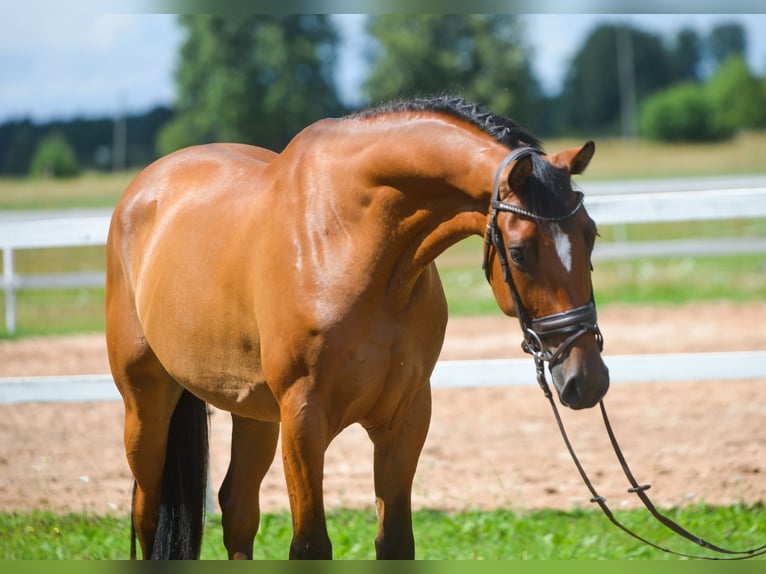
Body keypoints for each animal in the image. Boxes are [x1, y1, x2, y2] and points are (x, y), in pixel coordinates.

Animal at [106, 95, 612, 564]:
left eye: (590, 235)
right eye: (521, 252)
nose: (586, 379)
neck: (348, 239)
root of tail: (142, 189)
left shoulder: (406, 416)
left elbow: (396, 542)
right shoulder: (304, 420)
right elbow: (310, 546)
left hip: (253, 411)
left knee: (237, 508)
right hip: (146, 405)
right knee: (147, 511)